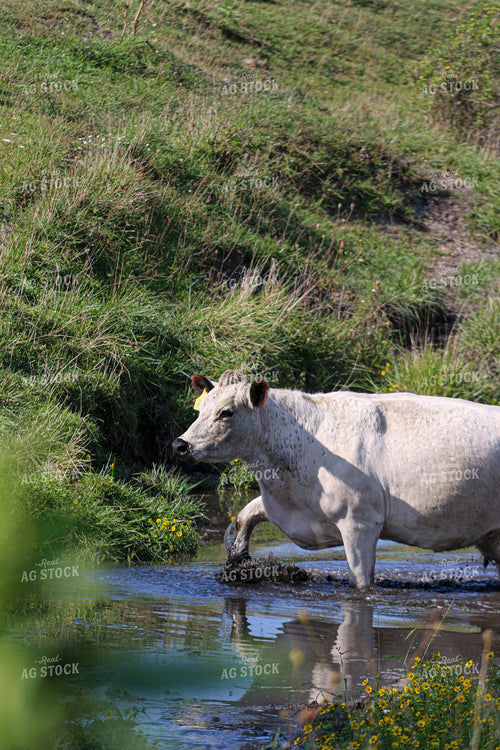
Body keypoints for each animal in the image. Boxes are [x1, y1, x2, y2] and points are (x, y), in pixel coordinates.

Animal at [172, 370, 500, 588]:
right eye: (200, 409)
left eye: (226, 412)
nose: (180, 445)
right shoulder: (287, 503)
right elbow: (245, 514)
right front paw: (238, 559)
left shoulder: (360, 523)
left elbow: (361, 584)